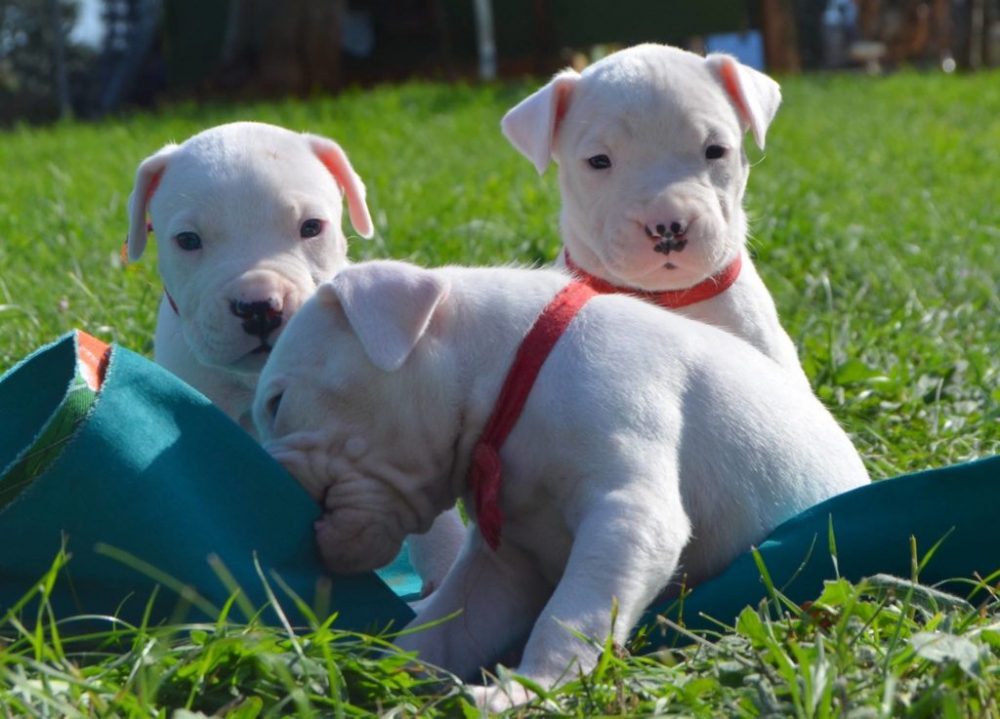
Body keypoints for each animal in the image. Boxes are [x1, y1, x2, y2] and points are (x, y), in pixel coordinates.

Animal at [250, 258, 868, 708]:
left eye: (277, 403)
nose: (271, 485)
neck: (513, 373)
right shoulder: (504, 565)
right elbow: (448, 624)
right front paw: (376, 675)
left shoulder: (627, 513)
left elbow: (570, 615)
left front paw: (528, 689)